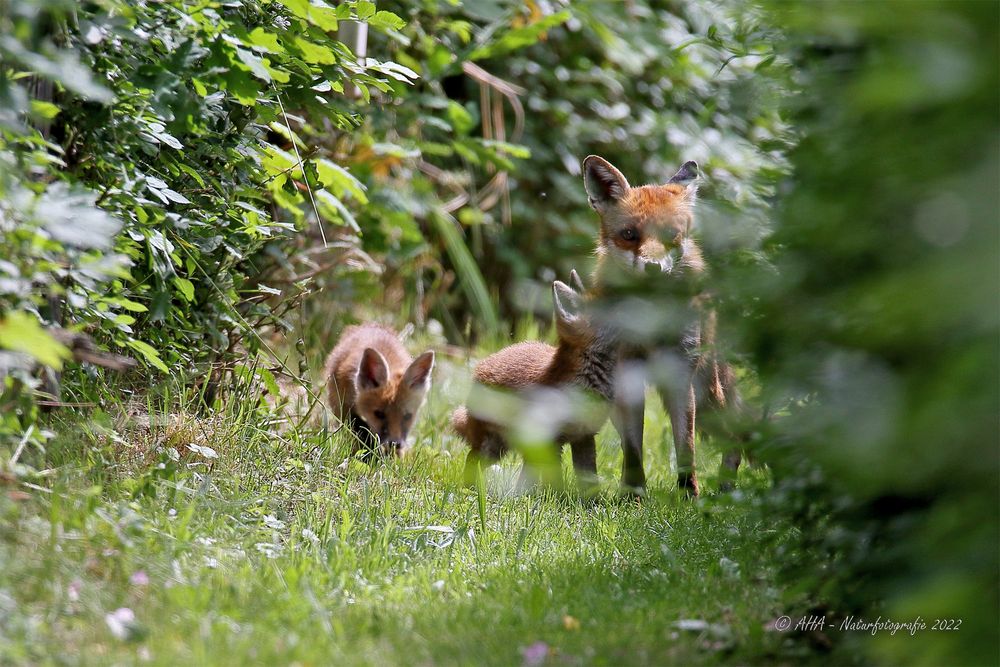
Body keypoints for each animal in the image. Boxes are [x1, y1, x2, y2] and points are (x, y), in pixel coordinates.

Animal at [326, 324, 436, 460]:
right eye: (379, 414)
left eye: (407, 416)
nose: (395, 443)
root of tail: (370, 325)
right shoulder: (343, 407)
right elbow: (360, 431)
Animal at [454, 274, 616, 494]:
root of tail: (481, 367)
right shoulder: (551, 441)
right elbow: (555, 482)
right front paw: (560, 499)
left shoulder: (584, 436)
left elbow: (589, 482)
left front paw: (591, 502)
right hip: (495, 446)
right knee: (472, 459)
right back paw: (471, 490)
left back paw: (517, 496)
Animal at [584, 153, 748, 496]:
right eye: (629, 234)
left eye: (671, 233)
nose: (653, 268)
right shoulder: (626, 372)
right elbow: (633, 448)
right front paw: (632, 495)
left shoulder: (679, 374)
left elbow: (685, 447)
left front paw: (688, 496)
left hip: (706, 392)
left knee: (735, 435)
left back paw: (726, 488)